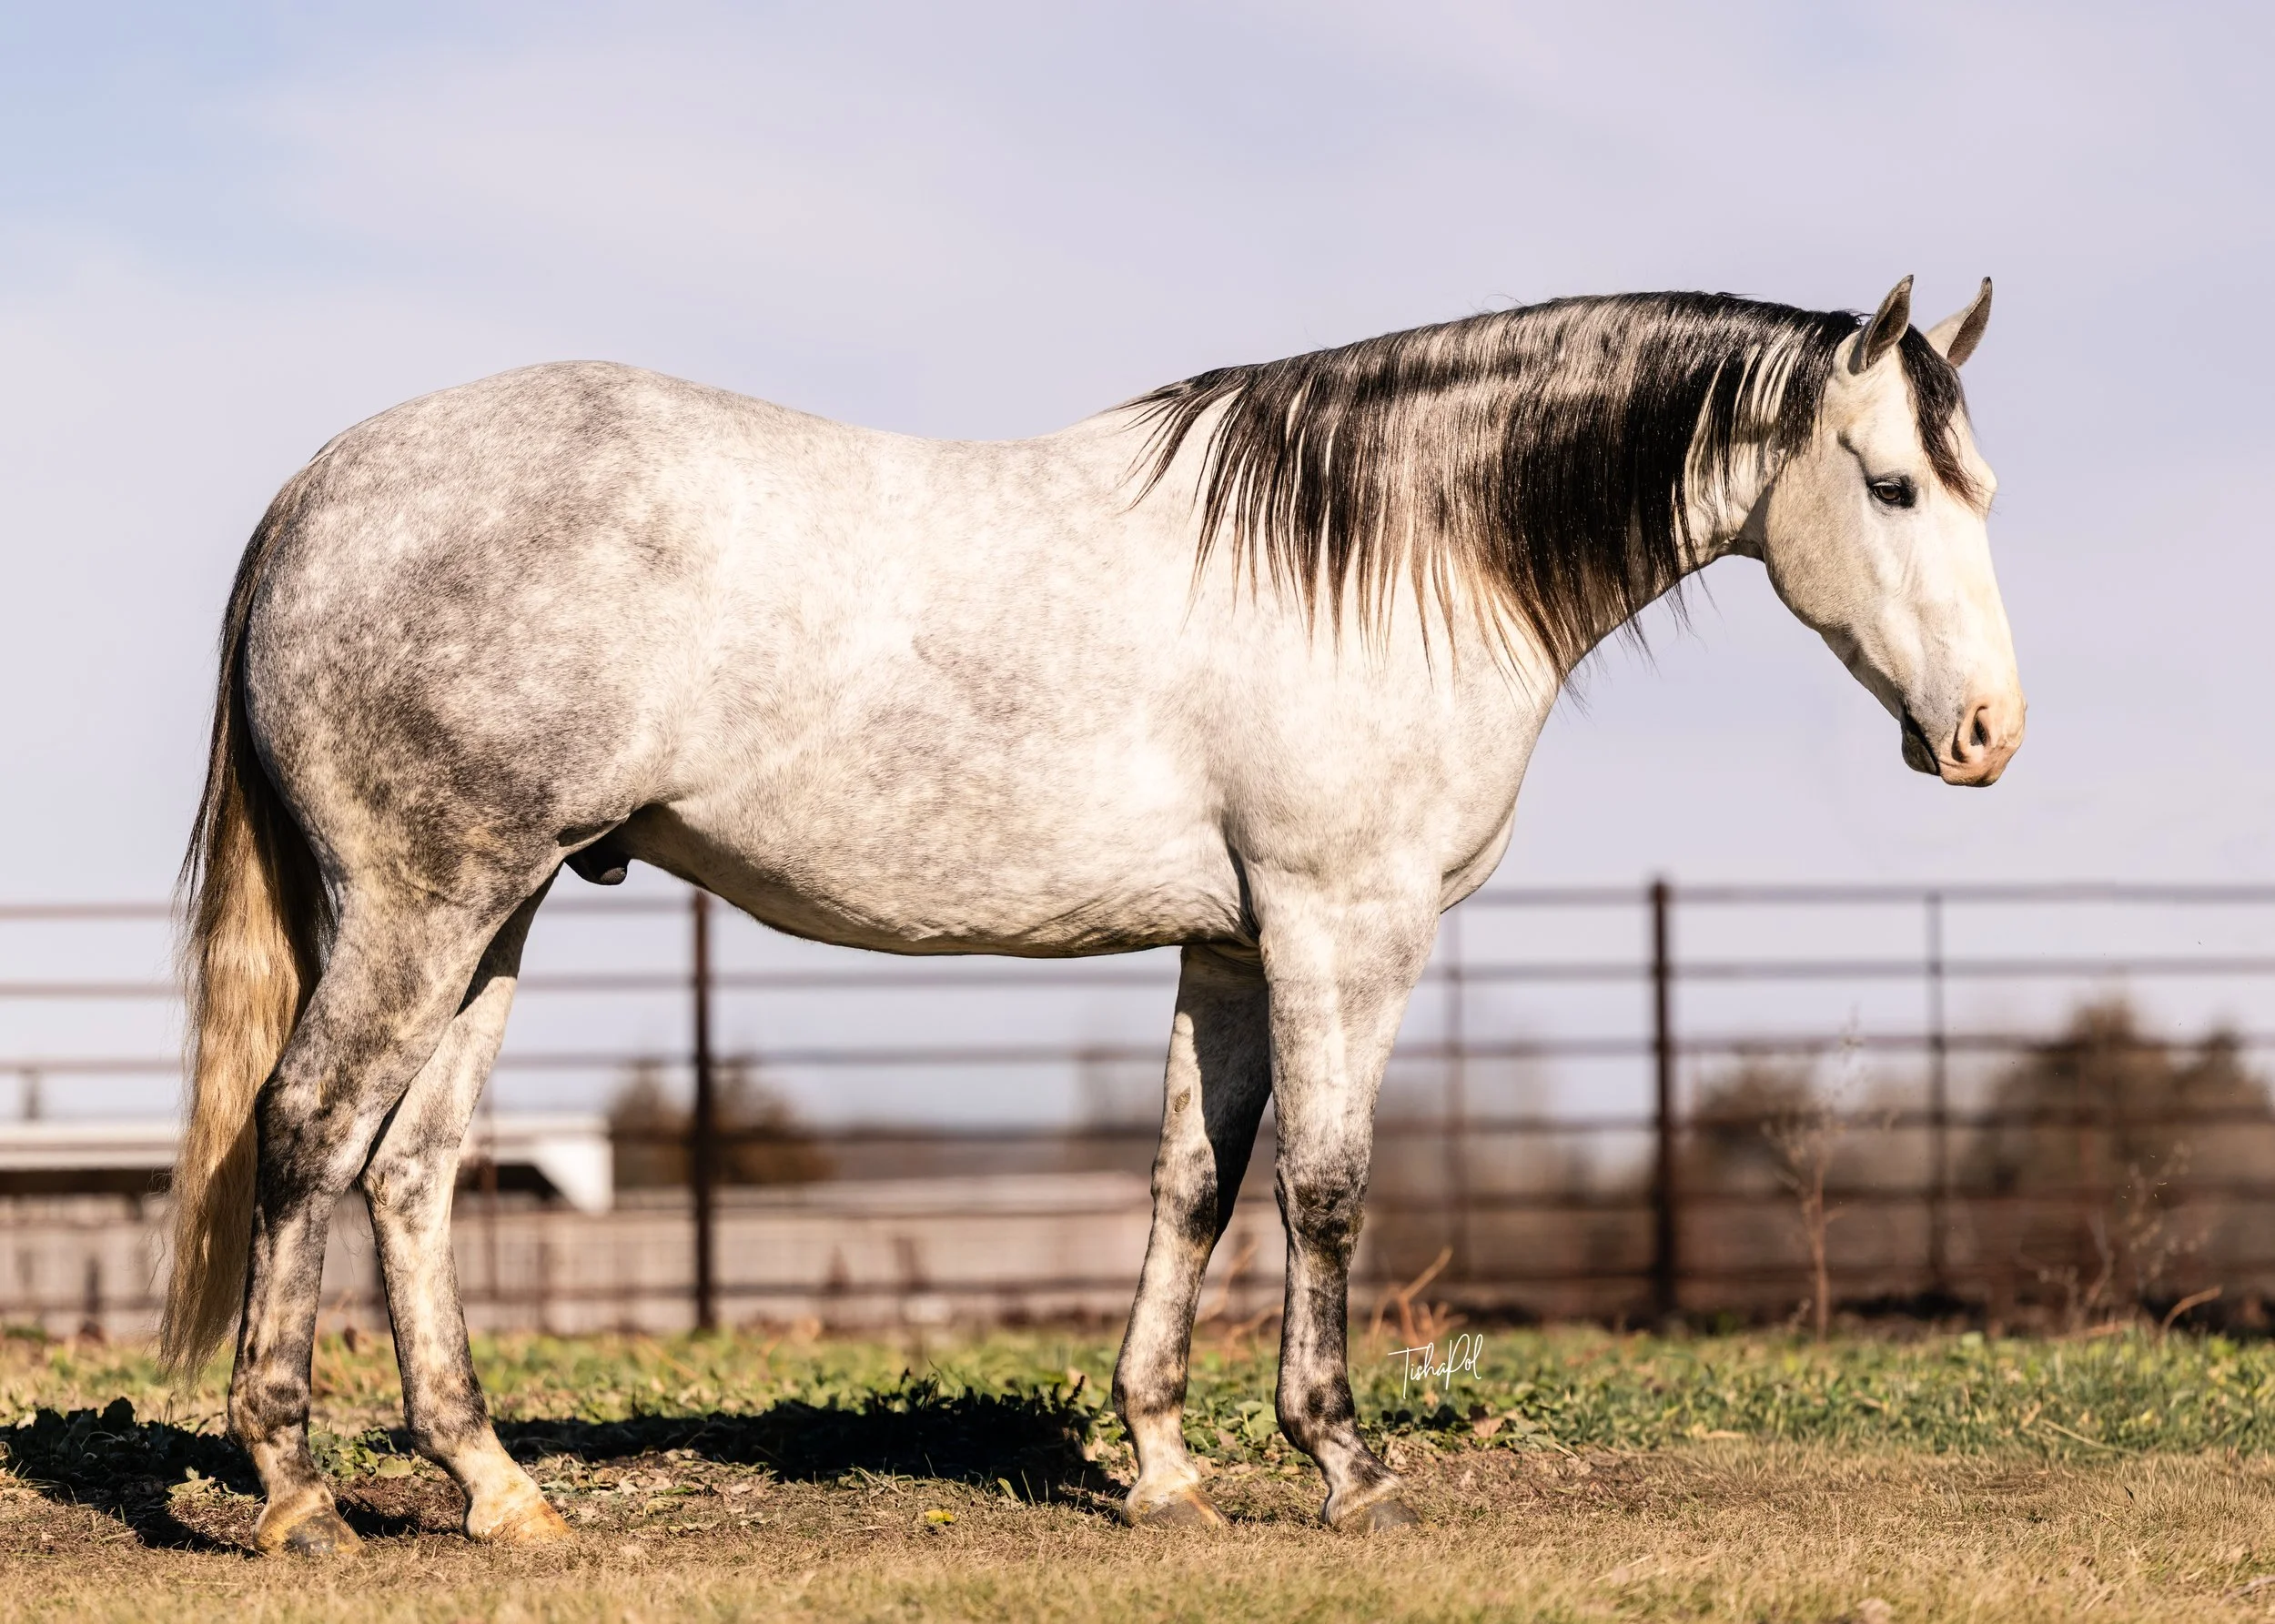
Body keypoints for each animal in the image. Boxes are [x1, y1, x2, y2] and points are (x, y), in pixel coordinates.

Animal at [161, 274, 2019, 1554]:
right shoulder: (1344, 927)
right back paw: (296, 1493)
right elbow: (1327, 1190)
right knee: (311, 1130)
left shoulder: (1232, 946)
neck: (1385, 556)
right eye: (1895, 488)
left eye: (1979, 484)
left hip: (500, 913)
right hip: (426, 904)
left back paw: (500, 1492)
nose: (1988, 736)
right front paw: (1346, 1465)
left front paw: (1167, 1470)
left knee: (411, 1171)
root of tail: (316, 493)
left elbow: (1193, 1185)